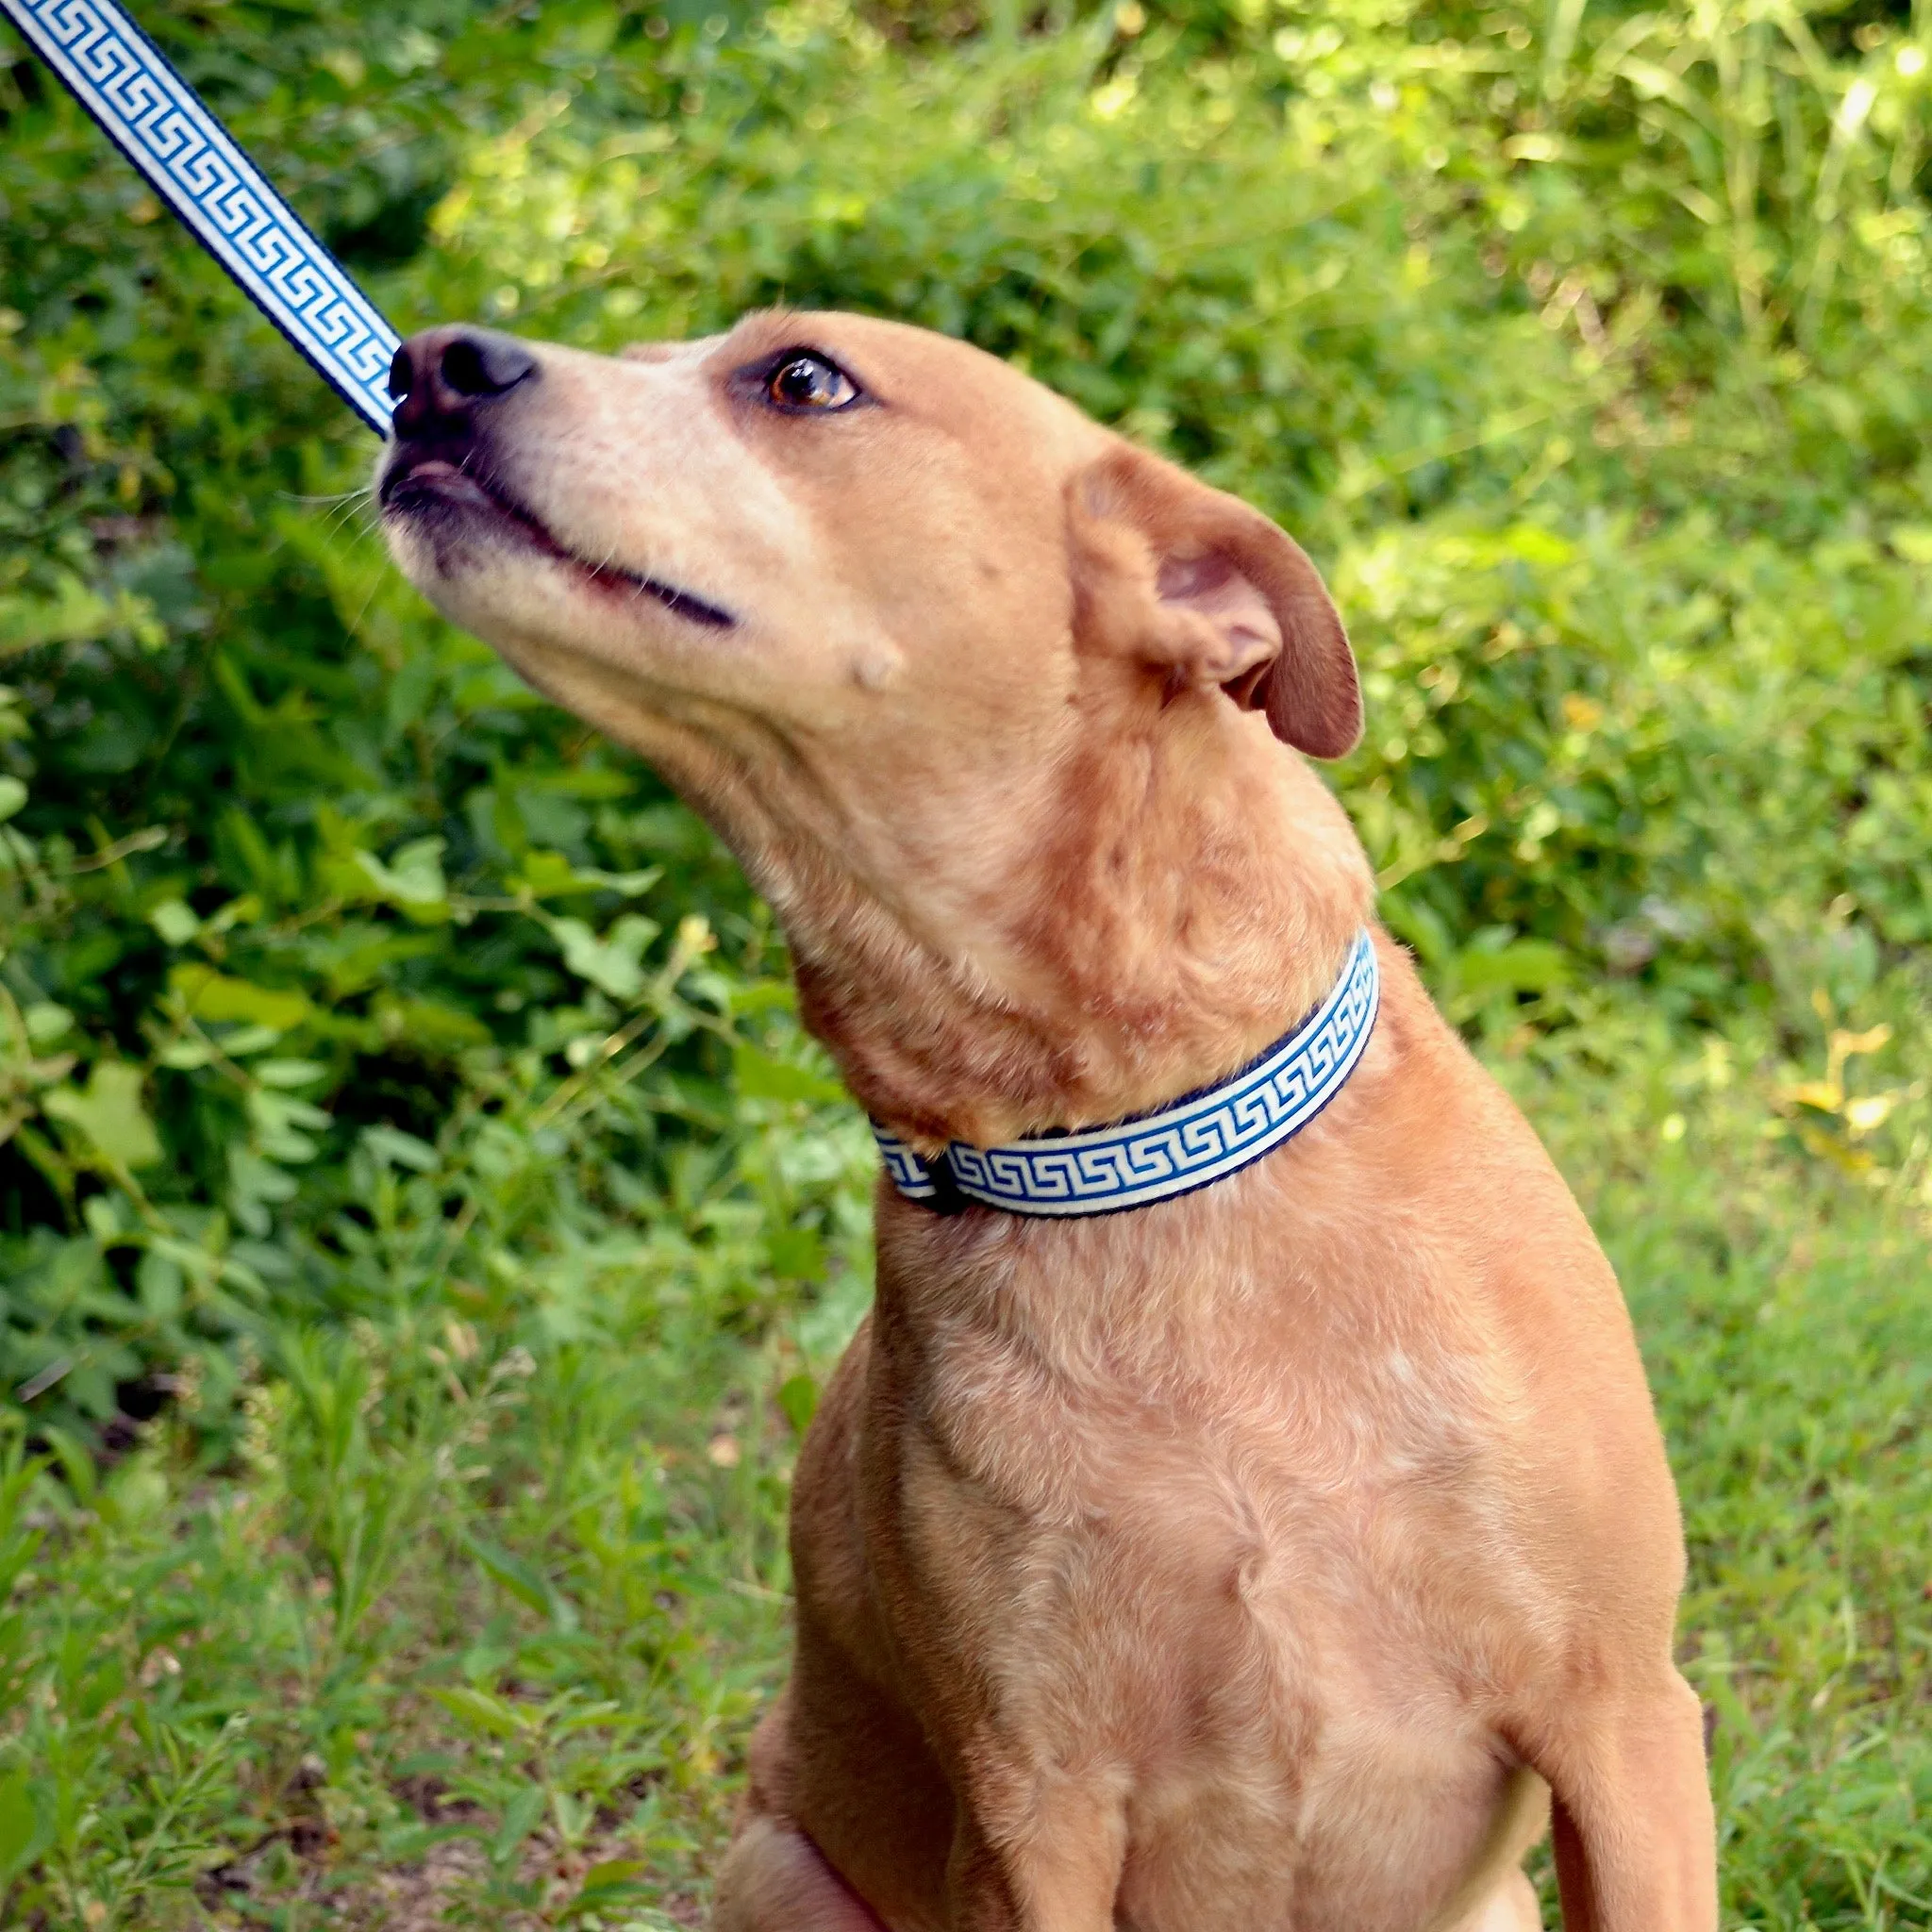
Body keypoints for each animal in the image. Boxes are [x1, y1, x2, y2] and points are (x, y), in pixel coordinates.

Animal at [384, 308, 1715, 1924]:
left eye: (800, 377)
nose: (424, 364)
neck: (1126, 1154)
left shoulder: (1625, 1723)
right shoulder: (1031, 1810)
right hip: (774, 1868)